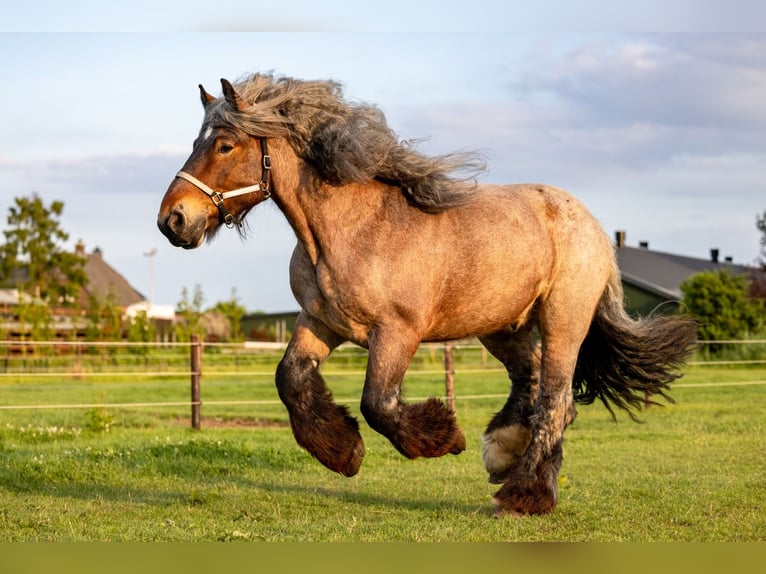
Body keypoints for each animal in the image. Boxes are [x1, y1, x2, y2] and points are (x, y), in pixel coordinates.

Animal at [158, 72, 704, 516]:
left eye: (225, 146)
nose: (173, 221)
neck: (348, 230)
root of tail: (594, 227)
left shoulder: (397, 332)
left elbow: (378, 403)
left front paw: (442, 437)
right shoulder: (321, 323)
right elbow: (289, 379)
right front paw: (343, 453)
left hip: (563, 323)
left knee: (553, 400)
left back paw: (523, 495)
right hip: (501, 327)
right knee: (534, 386)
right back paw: (505, 455)